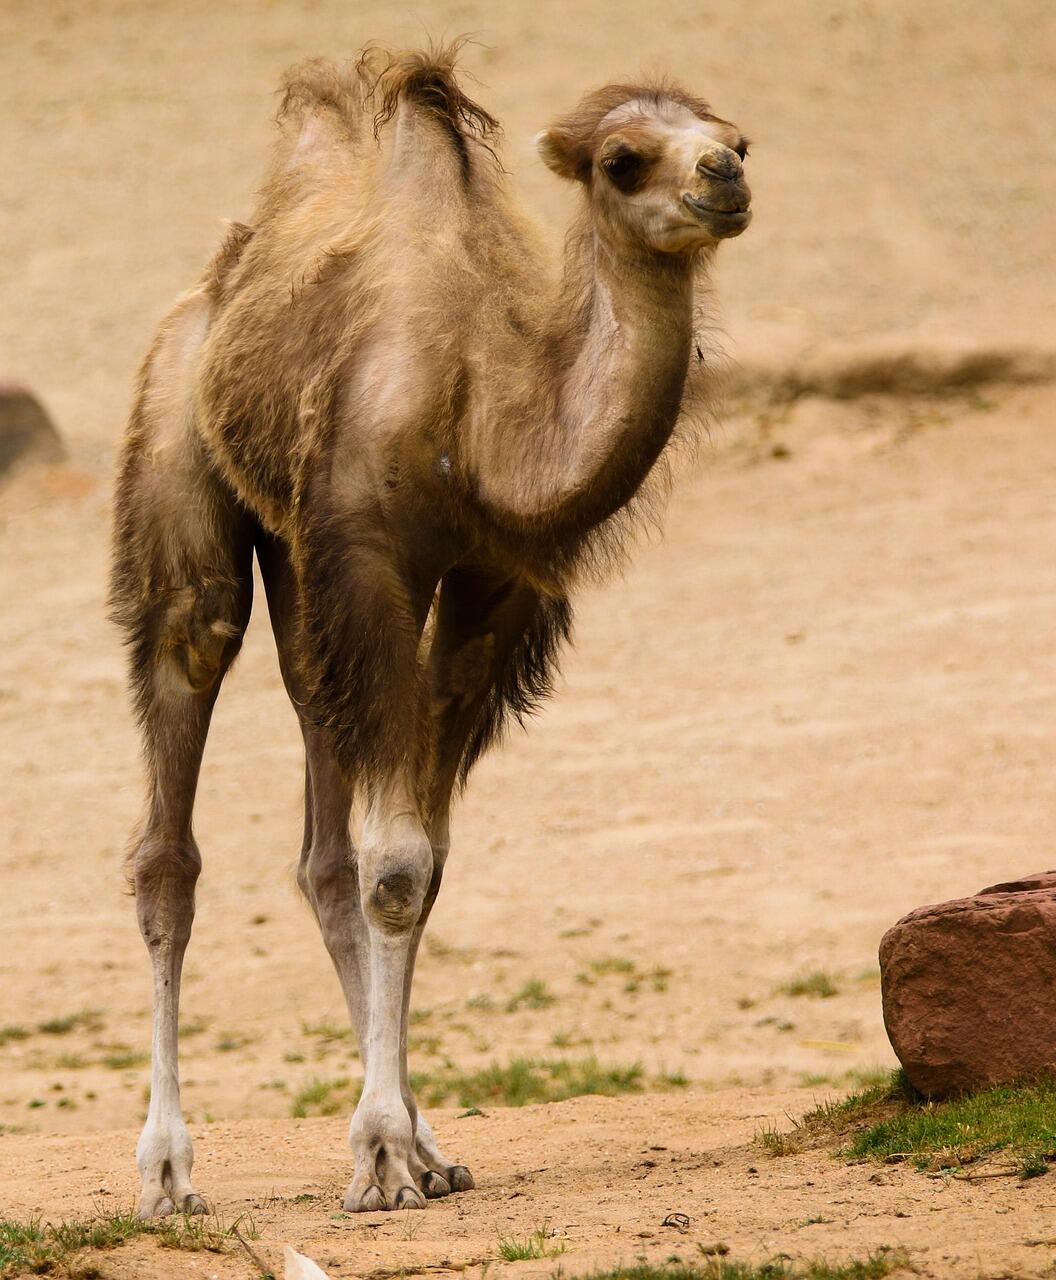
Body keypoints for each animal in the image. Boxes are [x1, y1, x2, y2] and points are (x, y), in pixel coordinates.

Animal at [109, 43, 752, 1218]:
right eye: (624, 159)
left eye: (735, 134)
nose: (723, 175)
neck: (480, 414)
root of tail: (212, 289)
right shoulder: (371, 560)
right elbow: (398, 864)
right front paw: (376, 1151)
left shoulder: (487, 587)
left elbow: (419, 863)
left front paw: (406, 1144)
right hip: (183, 465)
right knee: (175, 779)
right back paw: (168, 1170)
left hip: (300, 566)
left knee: (320, 840)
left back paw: (419, 1134)